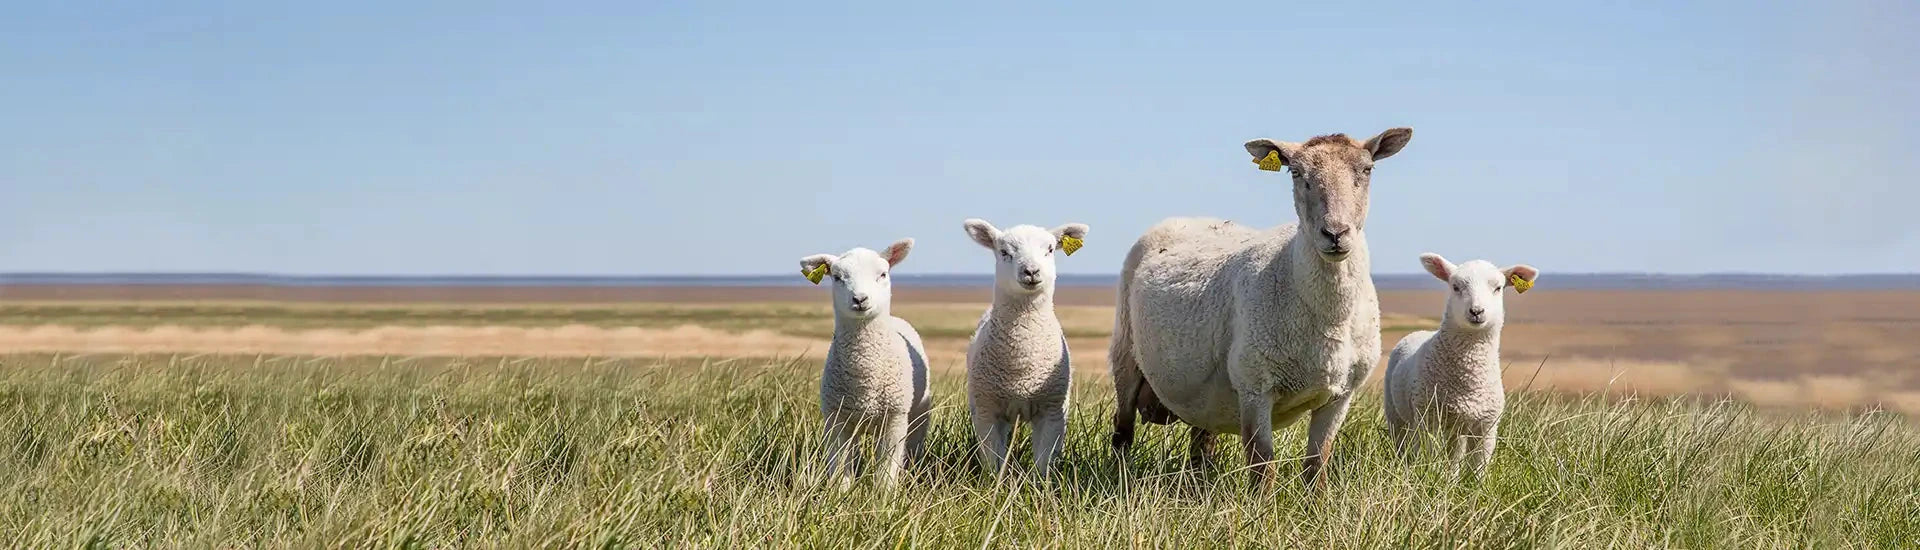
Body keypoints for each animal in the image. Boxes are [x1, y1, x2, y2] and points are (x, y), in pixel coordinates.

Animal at [798, 238, 932, 488]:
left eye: (883, 274)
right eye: (837, 277)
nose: (860, 299)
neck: (864, 376)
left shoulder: (894, 419)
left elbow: (887, 471)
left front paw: (884, 496)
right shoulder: (837, 419)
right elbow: (840, 467)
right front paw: (840, 495)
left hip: (918, 413)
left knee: (913, 446)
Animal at [961, 218, 1089, 479]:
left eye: (1050, 249)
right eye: (1004, 252)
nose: (1031, 271)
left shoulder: (1053, 411)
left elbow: (1044, 461)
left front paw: (1041, 485)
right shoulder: (987, 410)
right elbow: (993, 459)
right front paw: (995, 484)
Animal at [1110, 128, 1413, 489]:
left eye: (1366, 170)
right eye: (1295, 173)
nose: (1335, 234)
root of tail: (1187, 218)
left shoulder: (1341, 394)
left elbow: (1317, 464)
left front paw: (1316, 500)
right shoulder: (1255, 385)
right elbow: (1262, 464)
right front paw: (1261, 505)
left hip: (1204, 395)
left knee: (1201, 442)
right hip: (1125, 353)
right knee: (1122, 431)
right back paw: (1120, 480)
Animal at [1383, 253, 1538, 479]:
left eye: (1498, 288)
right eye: (1455, 287)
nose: (1476, 311)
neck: (1468, 380)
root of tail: (1419, 331)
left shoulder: (1487, 426)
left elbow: (1479, 466)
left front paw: (1475, 486)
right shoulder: (1429, 418)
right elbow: (1431, 455)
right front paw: (1433, 477)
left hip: (1456, 427)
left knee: (1454, 455)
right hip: (1397, 414)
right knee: (1403, 443)